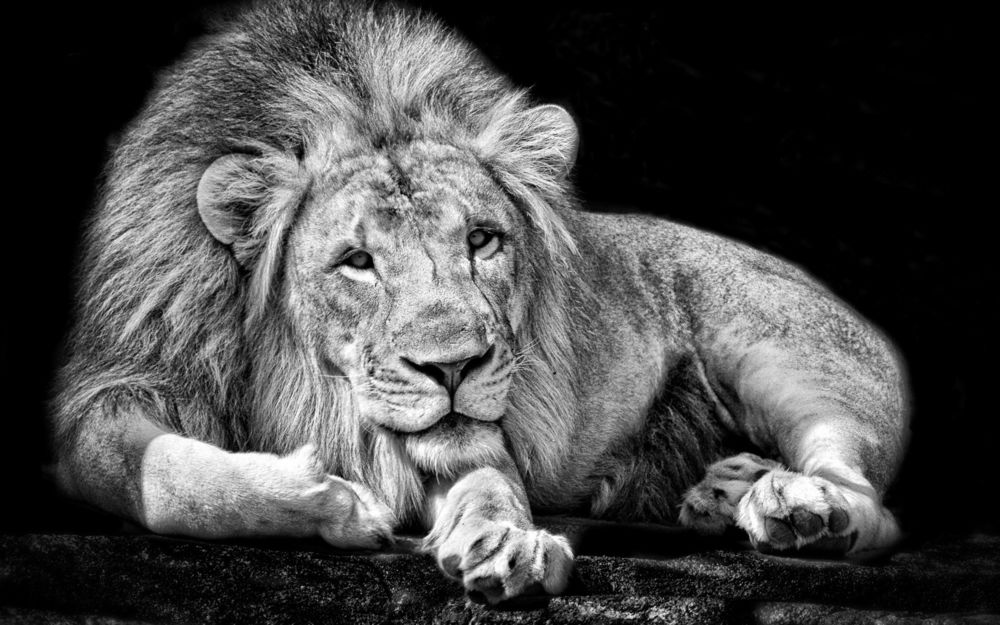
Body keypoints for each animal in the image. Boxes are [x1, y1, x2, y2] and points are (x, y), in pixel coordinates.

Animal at [51, 0, 908, 603]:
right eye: (357, 262)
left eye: (484, 240)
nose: (454, 367)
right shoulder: (111, 387)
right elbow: (162, 477)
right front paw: (334, 500)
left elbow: (488, 477)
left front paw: (504, 540)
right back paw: (721, 487)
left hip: (779, 358)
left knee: (868, 500)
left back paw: (801, 508)